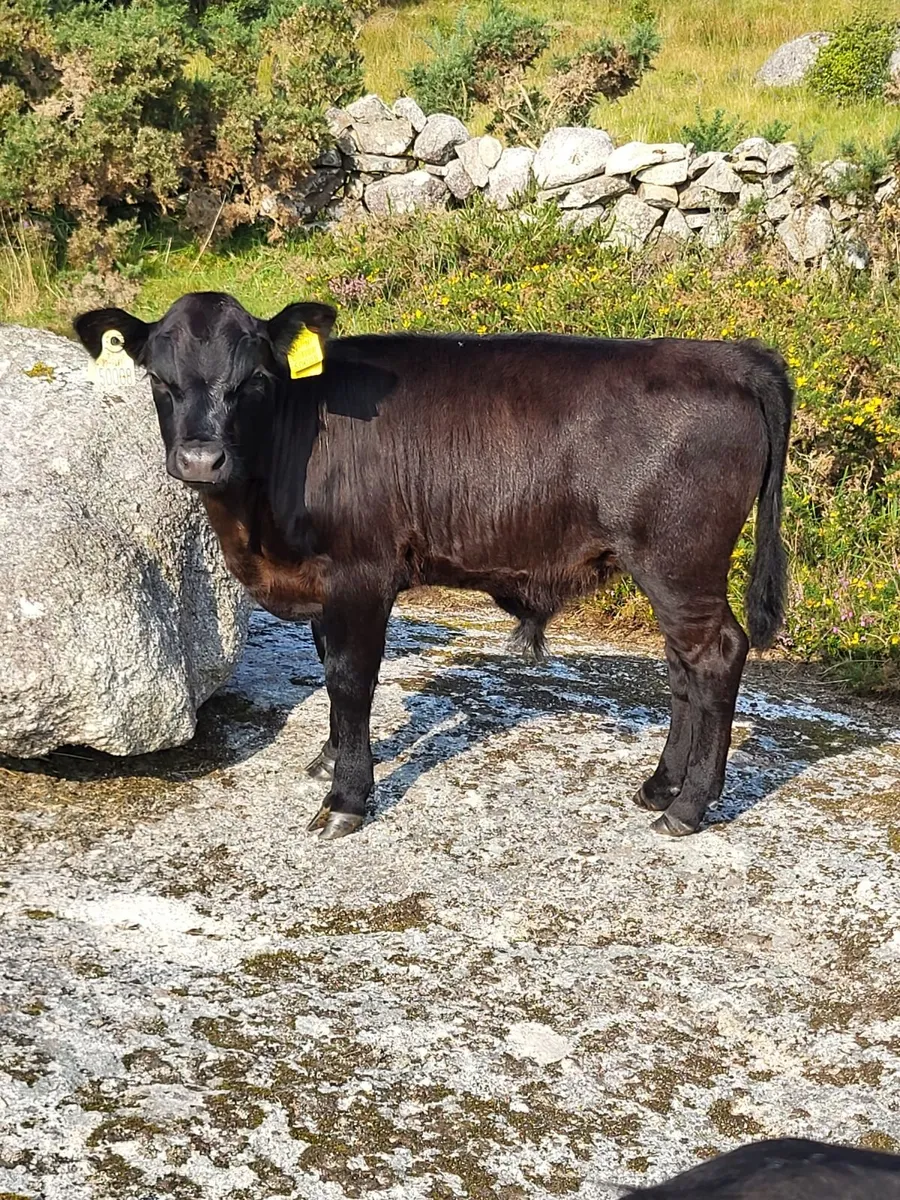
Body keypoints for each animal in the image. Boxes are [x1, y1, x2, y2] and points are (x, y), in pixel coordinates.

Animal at [74, 292, 793, 842]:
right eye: (159, 381)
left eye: (252, 380)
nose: (201, 459)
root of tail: (731, 354)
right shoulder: (324, 580)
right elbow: (327, 667)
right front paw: (331, 755)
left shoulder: (362, 573)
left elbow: (349, 679)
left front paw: (346, 798)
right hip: (668, 571)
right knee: (682, 668)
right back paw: (659, 785)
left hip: (679, 561)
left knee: (717, 655)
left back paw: (688, 806)